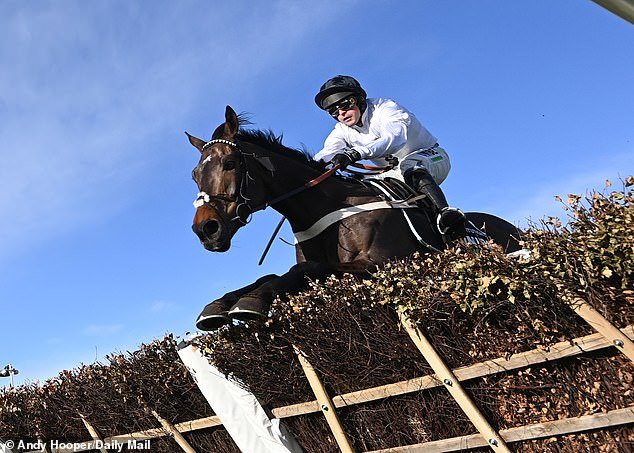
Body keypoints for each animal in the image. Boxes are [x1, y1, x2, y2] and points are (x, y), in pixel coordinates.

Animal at [185, 107, 520, 330]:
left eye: (230, 163)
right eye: (195, 174)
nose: (206, 230)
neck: (325, 210)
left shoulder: (382, 265)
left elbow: (307, 268)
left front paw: (250, 302)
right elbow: (271, 275)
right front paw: (218, 306)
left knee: (417, 168)